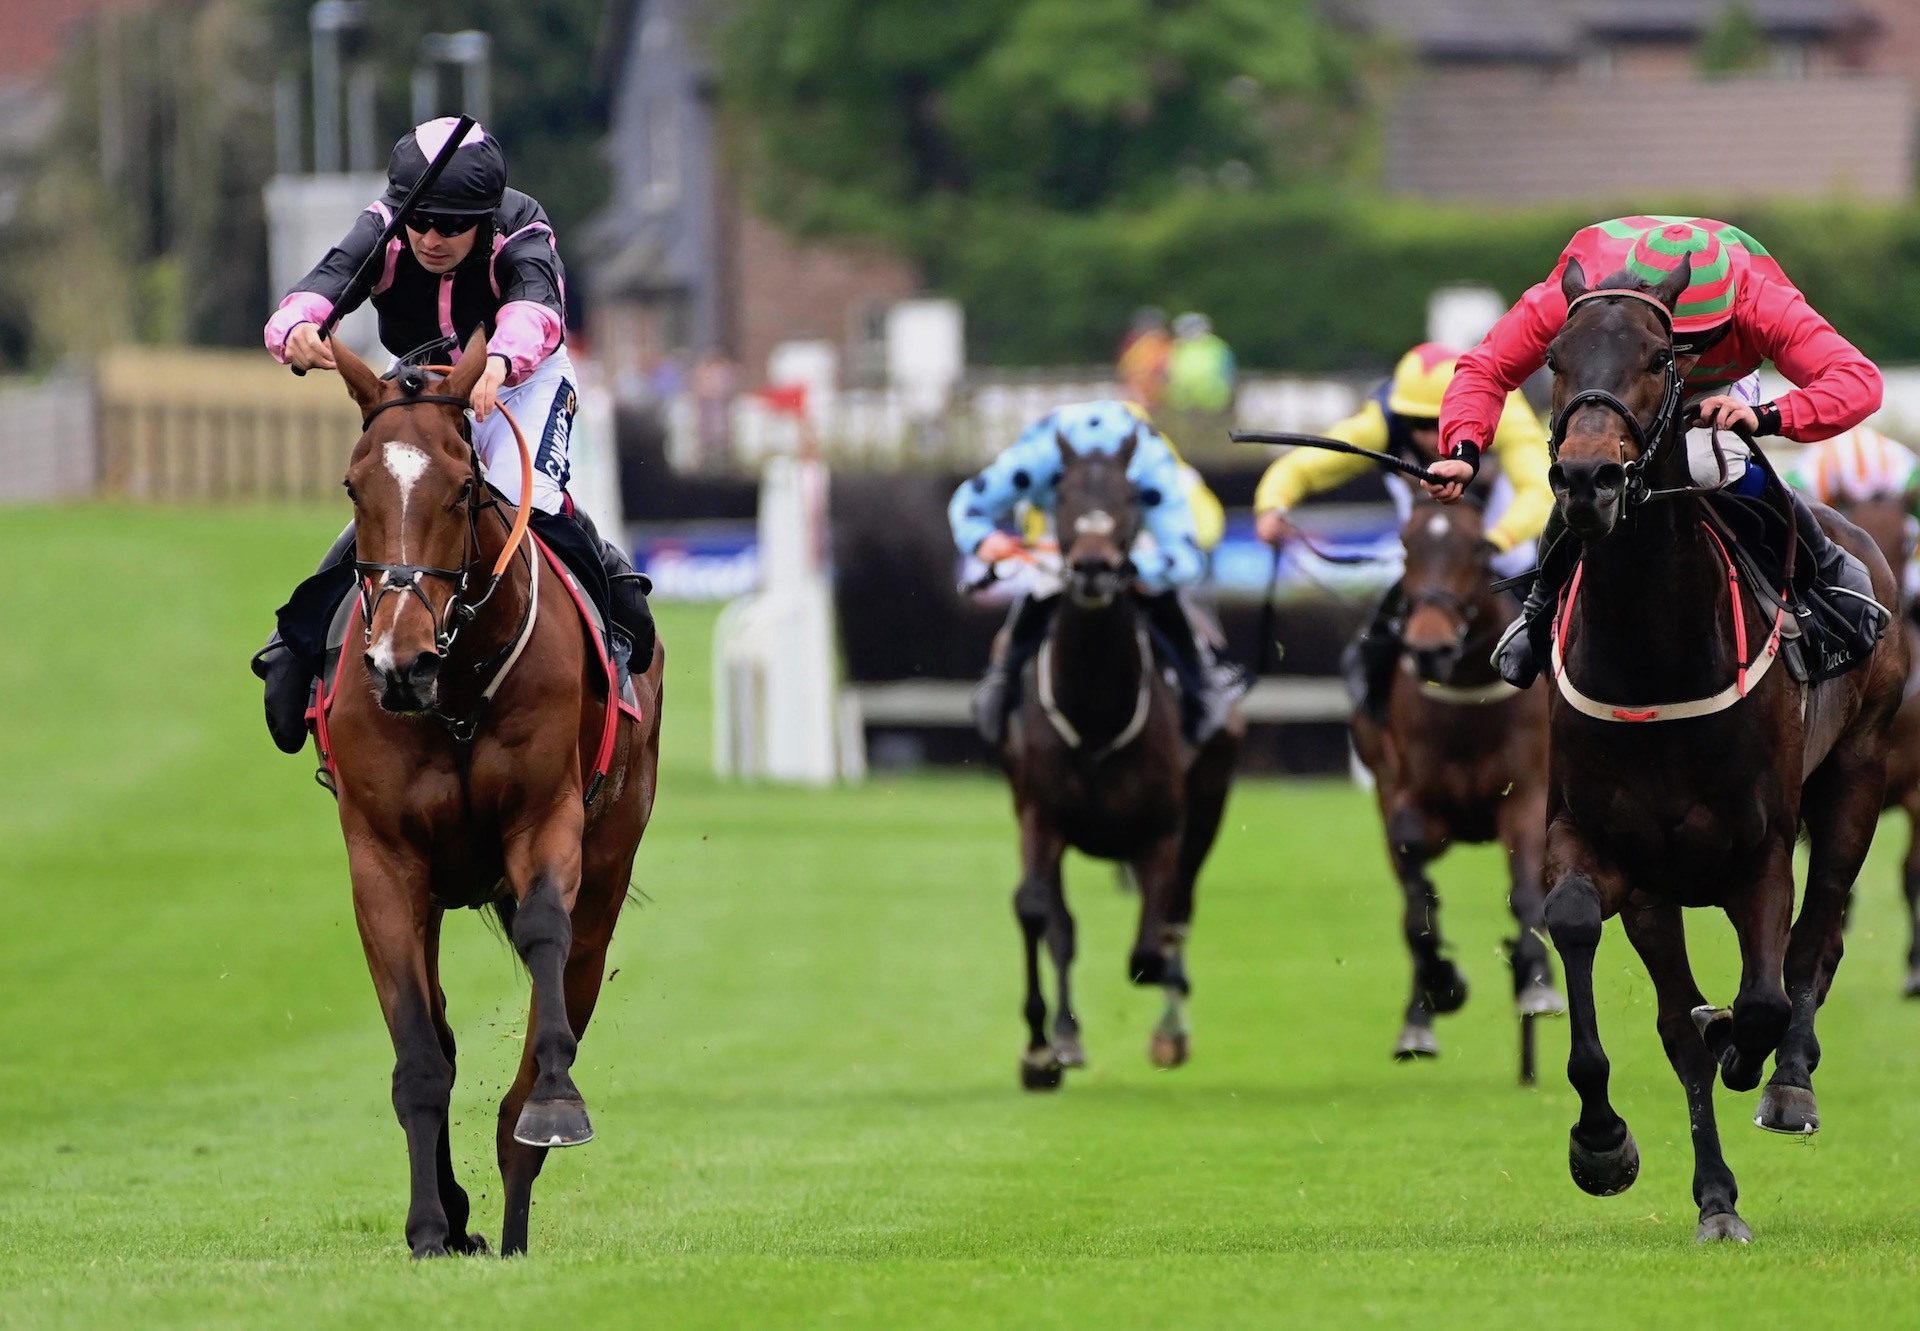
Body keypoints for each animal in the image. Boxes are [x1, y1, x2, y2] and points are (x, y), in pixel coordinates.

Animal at [320, 332, 660, 1259]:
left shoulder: (547, 822)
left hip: (608, 868)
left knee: (564, 993)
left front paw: (555, 1104)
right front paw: (430, 1226)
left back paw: (516, 1210)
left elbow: (544, 937)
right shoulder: (384, 859)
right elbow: (420, 1047)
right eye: (354, 484)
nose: (399, 664)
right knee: (439, 1026)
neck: (460, 689)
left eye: (462, 488)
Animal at [990, 435, 1244, 1090]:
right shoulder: (1039, 814)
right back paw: (1067, 1037)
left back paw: (1170, 1024)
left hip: (1207, 808)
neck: (1097, 713)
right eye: (1061, 495)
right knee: (1064, 926)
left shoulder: (1162, 832)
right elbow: (1039, 914)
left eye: (1134, 498)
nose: (1094, 568)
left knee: (1177, 915)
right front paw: (1041, 1049)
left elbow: (1149, 951)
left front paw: (1170, 1015)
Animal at [1351, 491, 1559, 1075]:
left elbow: (1526, 892)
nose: (1429, 649)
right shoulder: (1407, 801)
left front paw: (1536, 983)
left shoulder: (1527, 796)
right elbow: (1417, 906)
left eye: (1479, 548)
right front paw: (1440, 989)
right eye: (1405, 544)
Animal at [1536, 259, 1896, 1244]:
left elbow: (1768, 991)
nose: (1587, 477)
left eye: (1661, 358)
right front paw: (1602, 1143)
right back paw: (1716, 1191)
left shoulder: (1757, 850)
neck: (1653, 649)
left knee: (1819, 937)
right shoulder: (1606, 846)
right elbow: (1581, 932)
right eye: (1554, 357)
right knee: (1683, 1017)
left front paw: (1750, 1049)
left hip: (1858, 778)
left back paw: (1788, 1082)